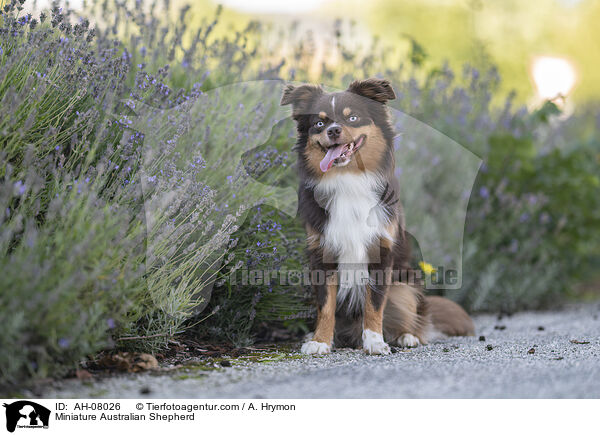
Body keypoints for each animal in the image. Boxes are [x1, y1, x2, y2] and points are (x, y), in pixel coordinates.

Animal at [280, 79, 474, 358]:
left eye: (352, 117)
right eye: (319, 123)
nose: (333, 131)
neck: (348, 180)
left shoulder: (381, 252)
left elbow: (375, 303)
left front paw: (374, 341)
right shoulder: (321, 253)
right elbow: (326, 305)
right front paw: (320, 341)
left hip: (405, 285)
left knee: (413, 316)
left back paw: (406, 336)